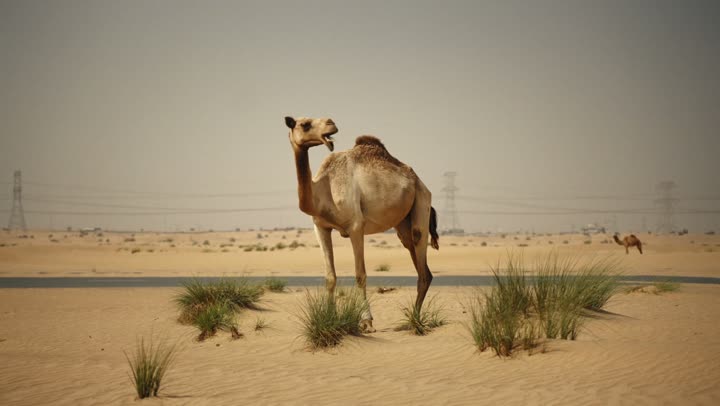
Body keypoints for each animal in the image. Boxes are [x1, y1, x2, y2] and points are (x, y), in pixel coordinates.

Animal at [285, 116, 439, 332]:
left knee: (421, 257)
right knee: (417, 258)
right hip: (403, 223)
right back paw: (413, 317)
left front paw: (367, 321)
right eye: (304, 124)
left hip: (421, 200)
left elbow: (360, 275)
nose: (331, 123)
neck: (324, 189)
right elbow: (330, 277)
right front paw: (330, 317)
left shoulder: (356, 226)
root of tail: (420, 181)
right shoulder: (321, 227)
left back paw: (414, 321)